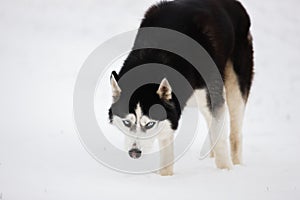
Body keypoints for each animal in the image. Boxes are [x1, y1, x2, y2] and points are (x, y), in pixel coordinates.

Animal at [108, 0, 253, 175]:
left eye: (149, 124)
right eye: (126, 122)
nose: (134, 153)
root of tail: (235, 4)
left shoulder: (211, 98)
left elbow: (221, 139)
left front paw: (225, 170)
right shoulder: (170, 115)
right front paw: (165, 176)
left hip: (235, 86)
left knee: (234, 133)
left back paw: (237, 165)